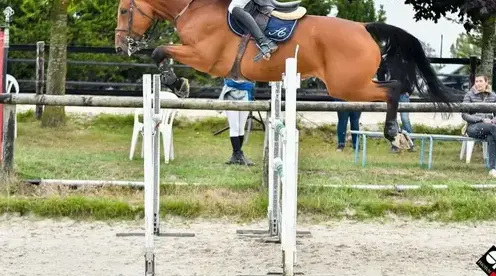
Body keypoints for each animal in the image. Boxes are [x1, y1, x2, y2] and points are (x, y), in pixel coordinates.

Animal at [114, 0, 460, 148]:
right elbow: (161, 53)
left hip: (347, 85)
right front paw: (177, 83)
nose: (120, 46)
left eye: (123, 10)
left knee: (394, 89)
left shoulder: (204, 56)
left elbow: (160, 52)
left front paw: (177, 83)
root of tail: (363, 27)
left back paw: (394, 133)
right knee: (395, 88)